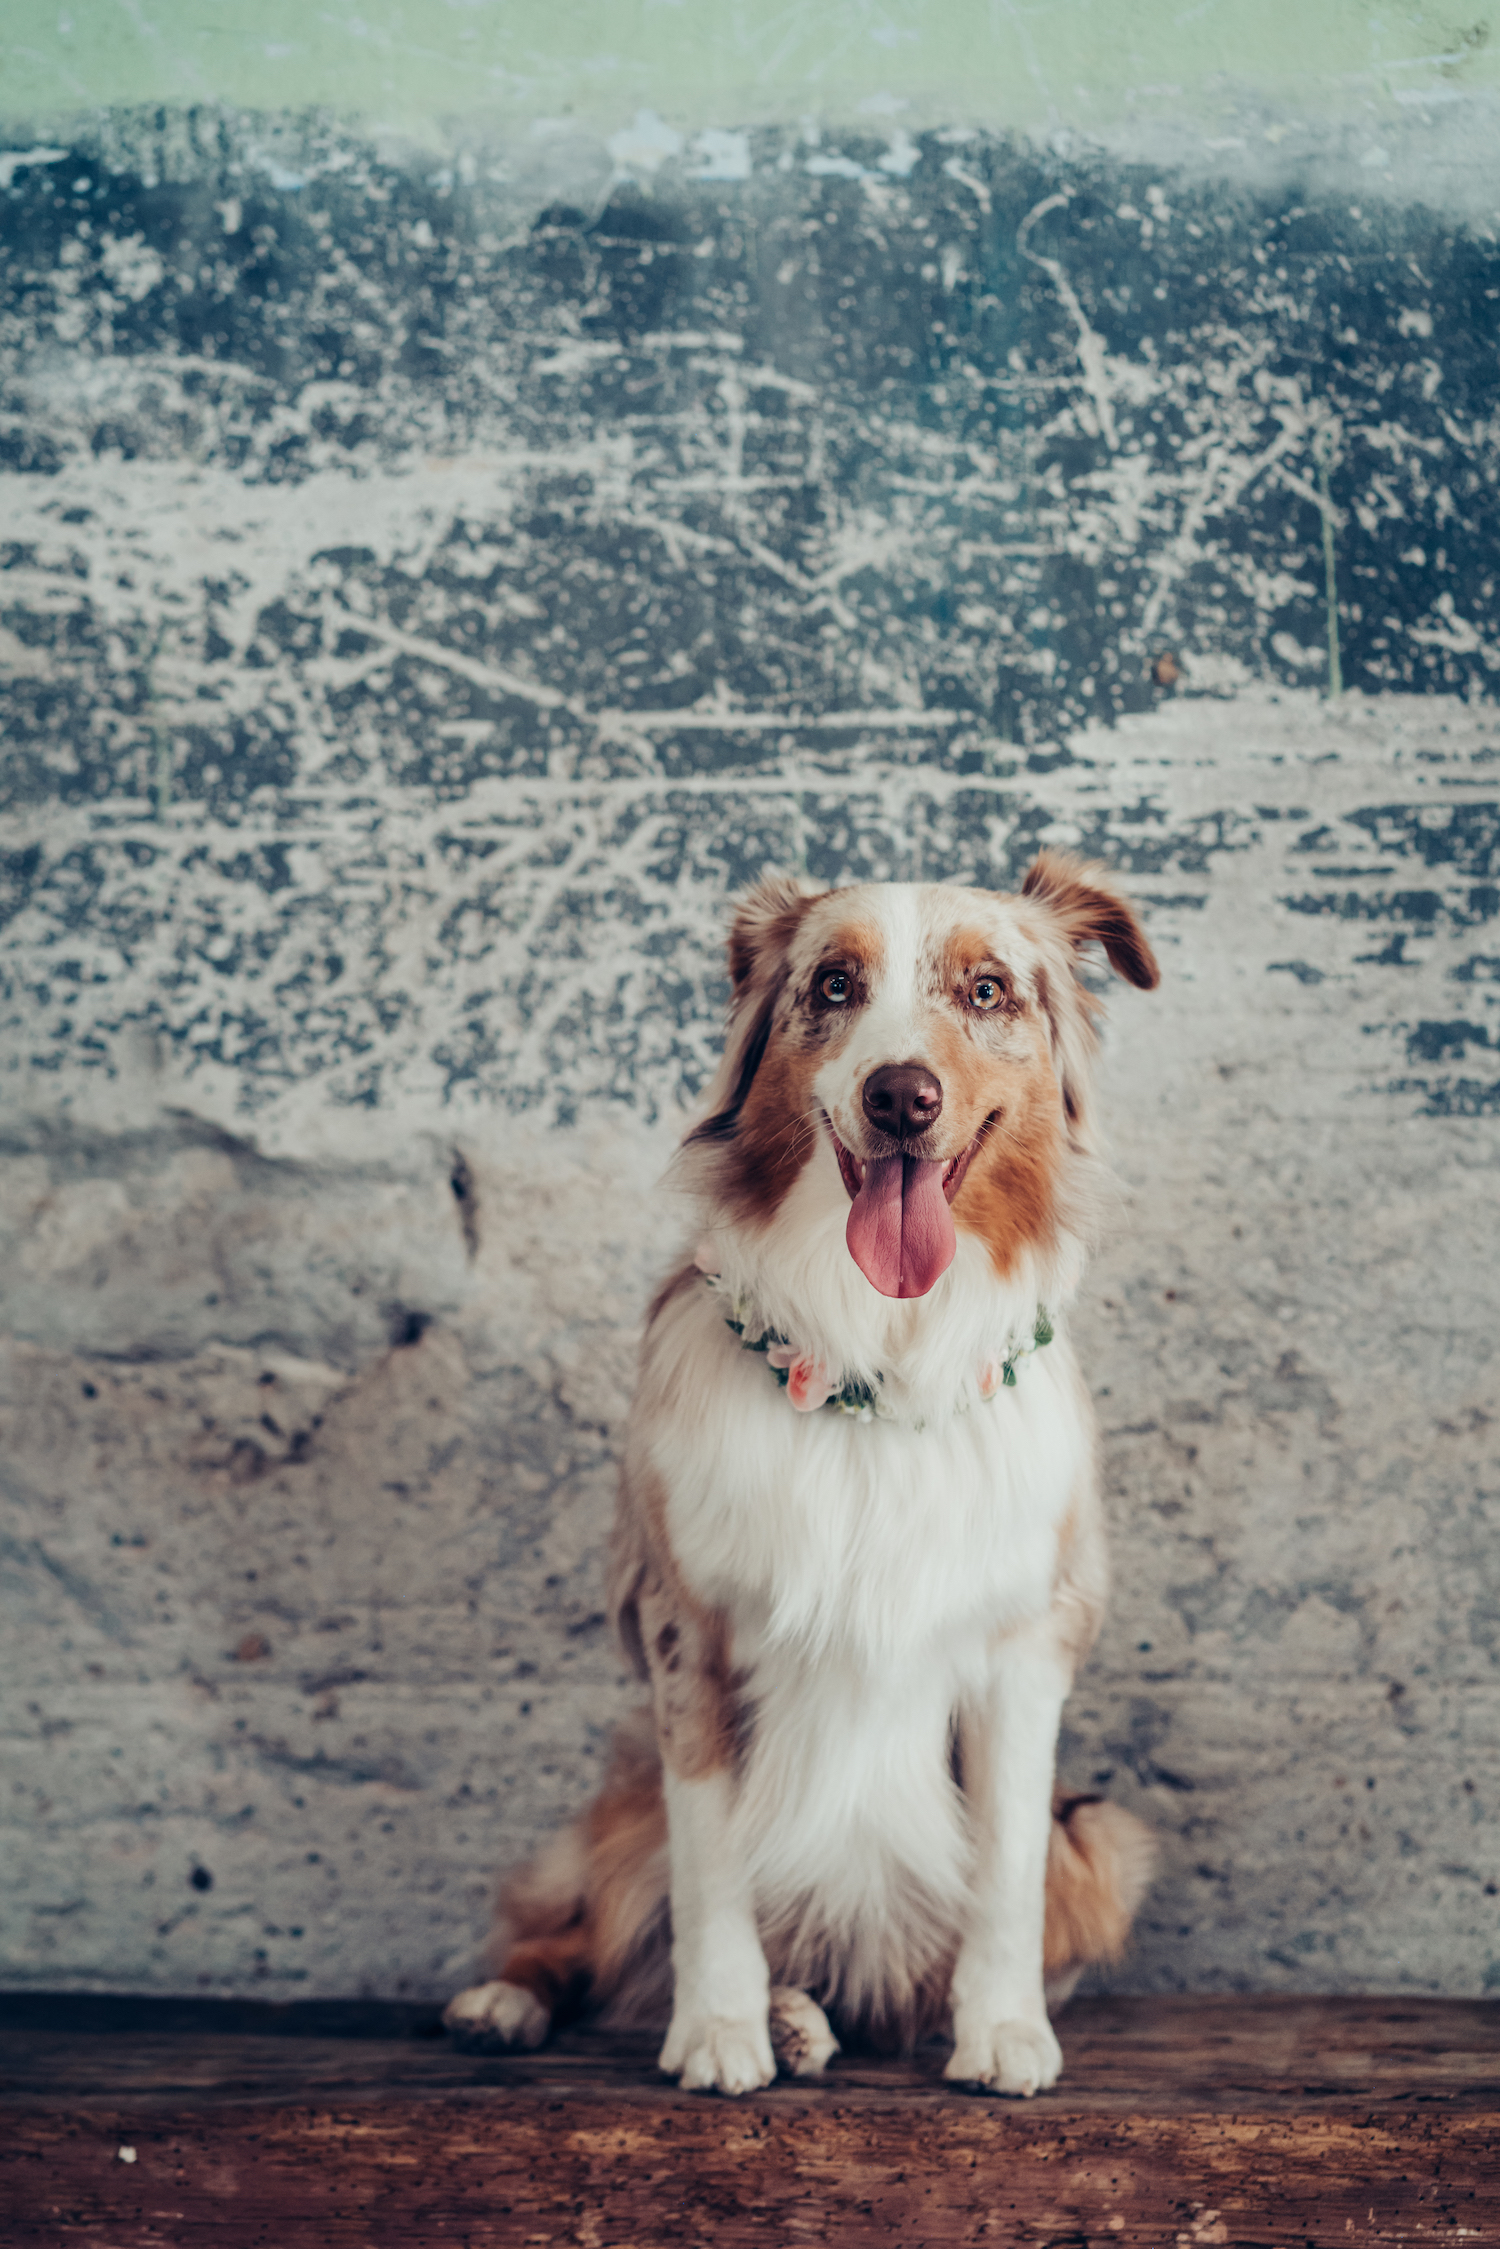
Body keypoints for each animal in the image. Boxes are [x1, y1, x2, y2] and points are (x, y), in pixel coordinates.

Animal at [445, 850, 1160, 2096]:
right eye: (833, 984)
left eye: (987, 990)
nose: (901, 1096)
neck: (880, 1369)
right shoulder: (690, 1629)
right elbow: (711, 1861)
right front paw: (719, 2025)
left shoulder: (1027, 1643)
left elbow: (1006, 1863)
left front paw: (1003, 2027)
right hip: (619, 1800)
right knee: (582, 1923)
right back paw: (534, 2000)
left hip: (1104, 1835)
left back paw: (816, 2017)